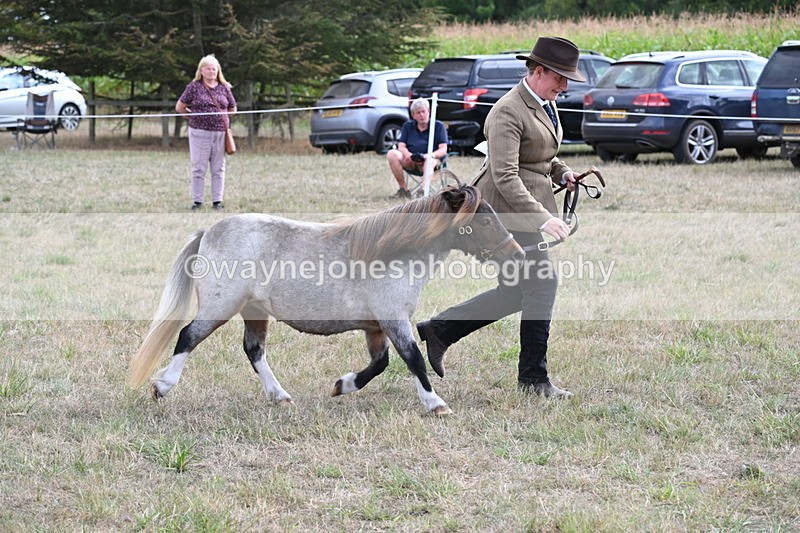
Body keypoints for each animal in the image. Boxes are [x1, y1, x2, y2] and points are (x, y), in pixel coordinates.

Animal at [129, 184, 524, 415]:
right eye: (485, 222)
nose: (518, 255)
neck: (394, 253)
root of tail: (209, 232)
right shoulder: (393, 319)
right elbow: (413, 359)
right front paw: (435, 403)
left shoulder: (375, 327)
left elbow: (380, 363)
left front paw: (342, 386)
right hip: (220, 307)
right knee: (188, 337)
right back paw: (163, 386)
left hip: (254, 311)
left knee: (254, 350)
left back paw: (280, 396)